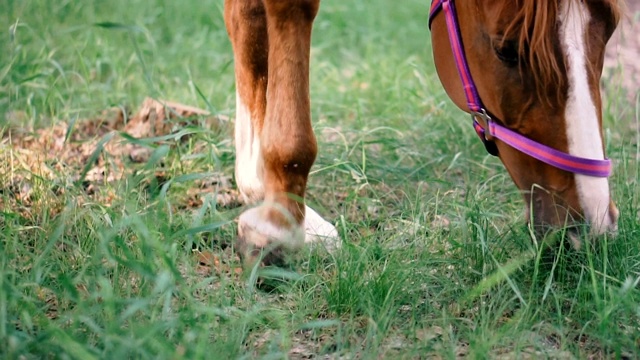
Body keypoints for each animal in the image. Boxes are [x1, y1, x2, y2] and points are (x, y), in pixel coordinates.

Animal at [224, 0, 620, 264]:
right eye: (506, 50)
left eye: (611, 29)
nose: (594, 223)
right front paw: (279, 223)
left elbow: (248, 16)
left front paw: (261, 187)